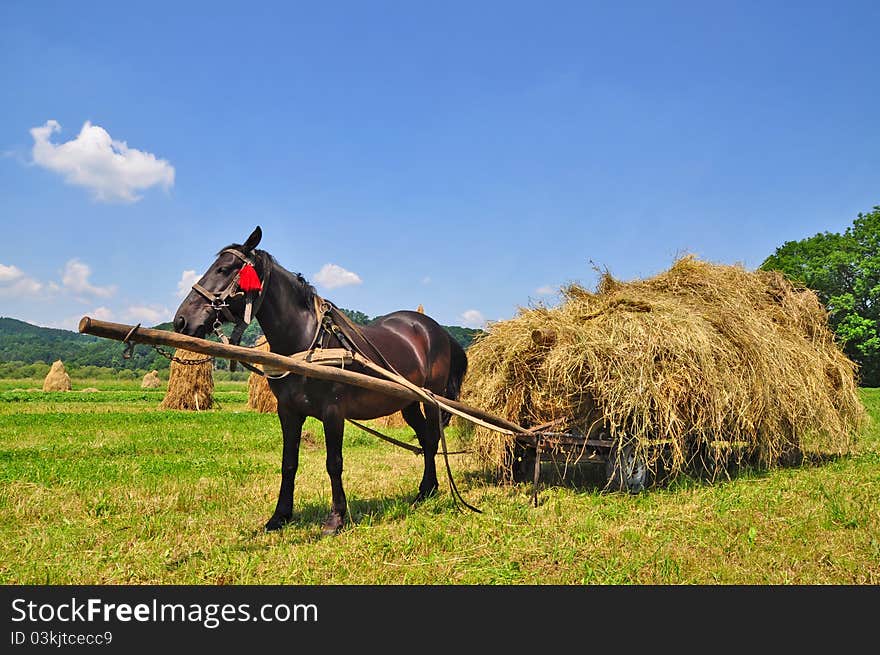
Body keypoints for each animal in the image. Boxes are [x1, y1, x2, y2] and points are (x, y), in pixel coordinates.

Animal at [170, 228, 468, 536]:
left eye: (224, 269)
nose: (181, 320)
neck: (306, 345)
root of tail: (434, 328)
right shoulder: (288, 411)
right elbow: (288, 463)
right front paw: (279, 516)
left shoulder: (333, 412)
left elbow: (333, 463)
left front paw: (336, 518)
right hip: (407, 400)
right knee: (424, 438)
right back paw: (426, 490)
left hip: (430, 398)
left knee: (431, 438)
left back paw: (427, 490)